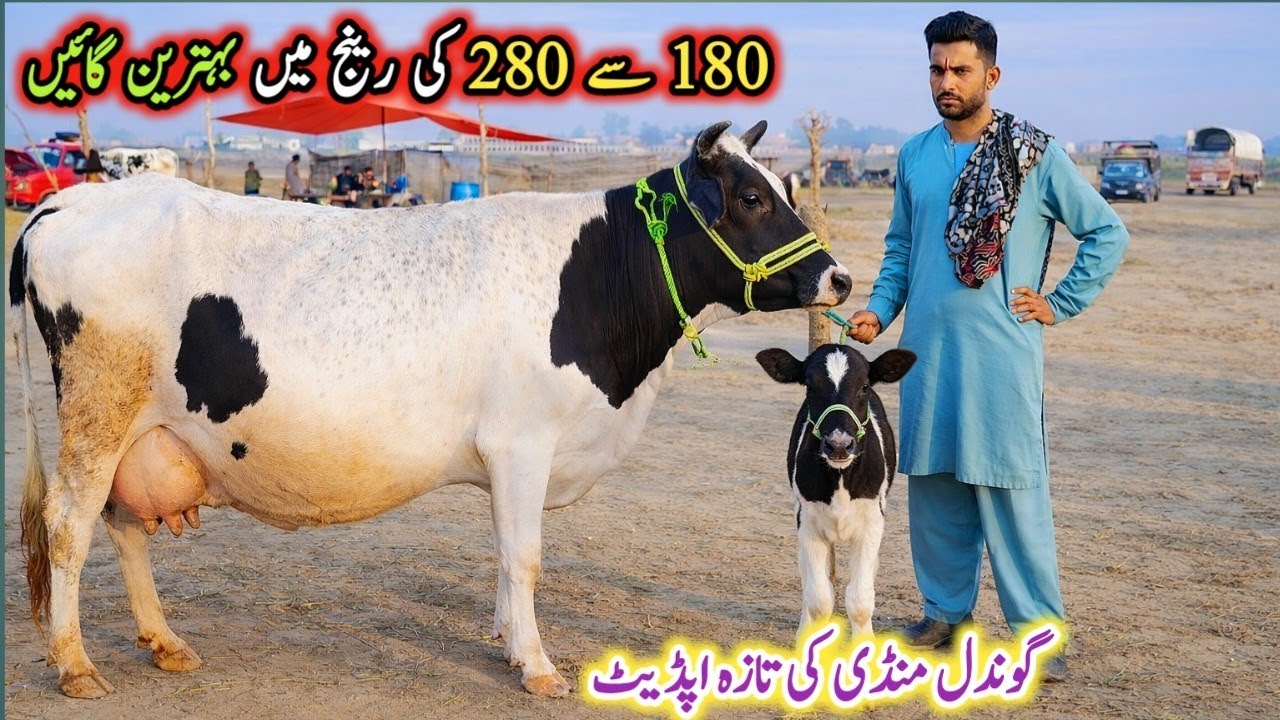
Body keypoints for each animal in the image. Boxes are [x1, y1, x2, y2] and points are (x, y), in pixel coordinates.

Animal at [9, 120, 852, 699]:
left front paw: (509, 642)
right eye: (750, 197)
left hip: (137, 431)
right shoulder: (523, 443)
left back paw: (163, 641)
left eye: (786, 190)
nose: (839, 278)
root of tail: (70, 200)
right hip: (98, 413)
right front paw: (537, 666)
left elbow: (504, 555)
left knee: (123, 525)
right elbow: (525, 555)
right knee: (68, 526)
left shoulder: (506, 458)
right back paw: (75, 665)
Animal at [755, 344, 915, 639]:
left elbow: (860, 601)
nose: (839, 444)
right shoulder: (807, 521)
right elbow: (819, 600)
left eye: (864, 386)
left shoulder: (872, 521)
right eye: (809, 385)